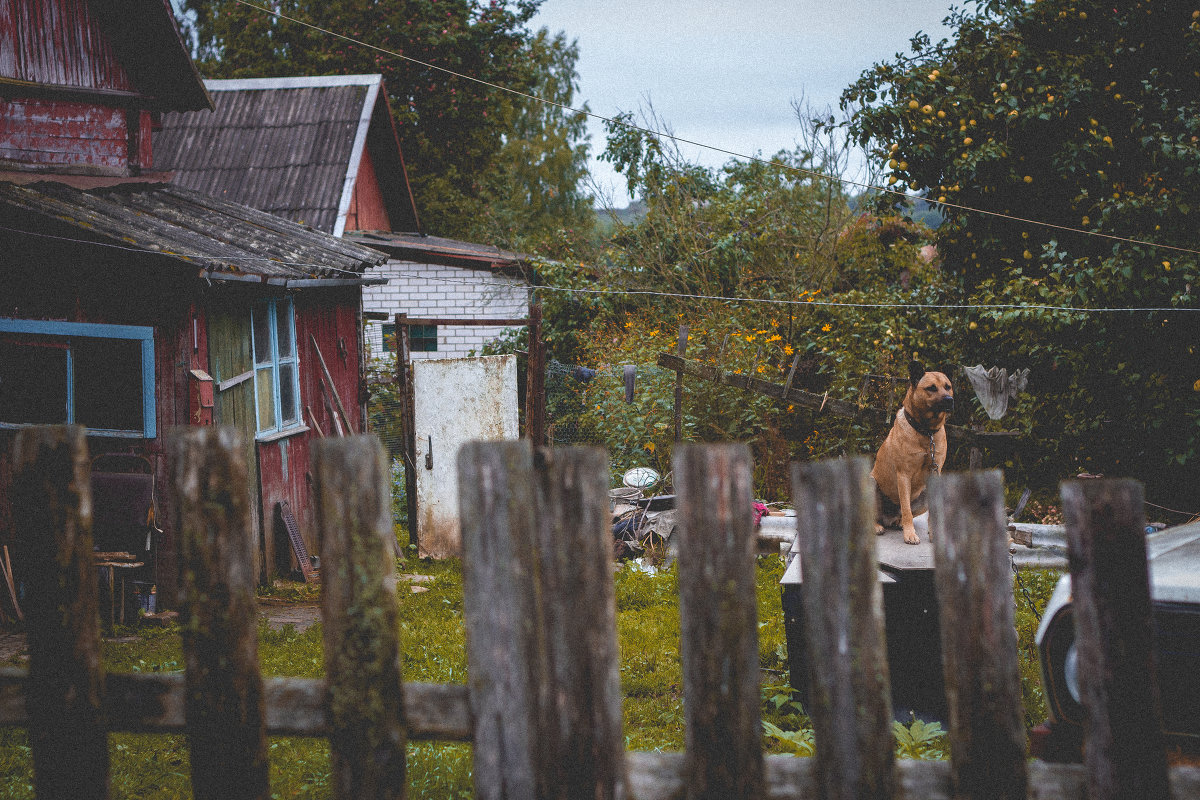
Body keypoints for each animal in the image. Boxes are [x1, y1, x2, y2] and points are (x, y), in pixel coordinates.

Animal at [873, 362, 955, 544]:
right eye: (931, 388)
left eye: (948, 387)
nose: (949, 400)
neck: (926, 431)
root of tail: (887, 518)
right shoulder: (903, 475)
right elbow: (906, 510)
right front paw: (910, 534)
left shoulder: (935, 472)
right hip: (871, 483)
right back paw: (878, 526)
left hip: (923, 497)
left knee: (899, 516)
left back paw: (898, 523)